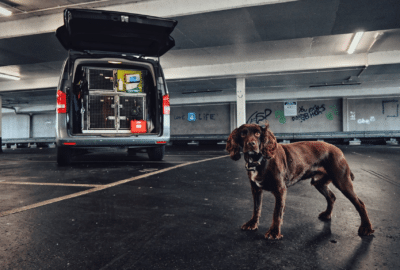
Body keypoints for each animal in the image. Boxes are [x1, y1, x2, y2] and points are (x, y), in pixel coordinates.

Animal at [227, 122, 374, 238]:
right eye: (243, 134)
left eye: (257, 133)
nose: (251, 144)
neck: (260, 161)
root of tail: (338, 150)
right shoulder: (256, 189)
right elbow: (256, 208)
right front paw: (252, 223)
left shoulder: (280, 190)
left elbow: (277, 213)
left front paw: (274, 232)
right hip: (319, 182)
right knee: (331, 197)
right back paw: (327, 214)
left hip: (342, 181)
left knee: (360, 203)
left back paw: (366, 228)